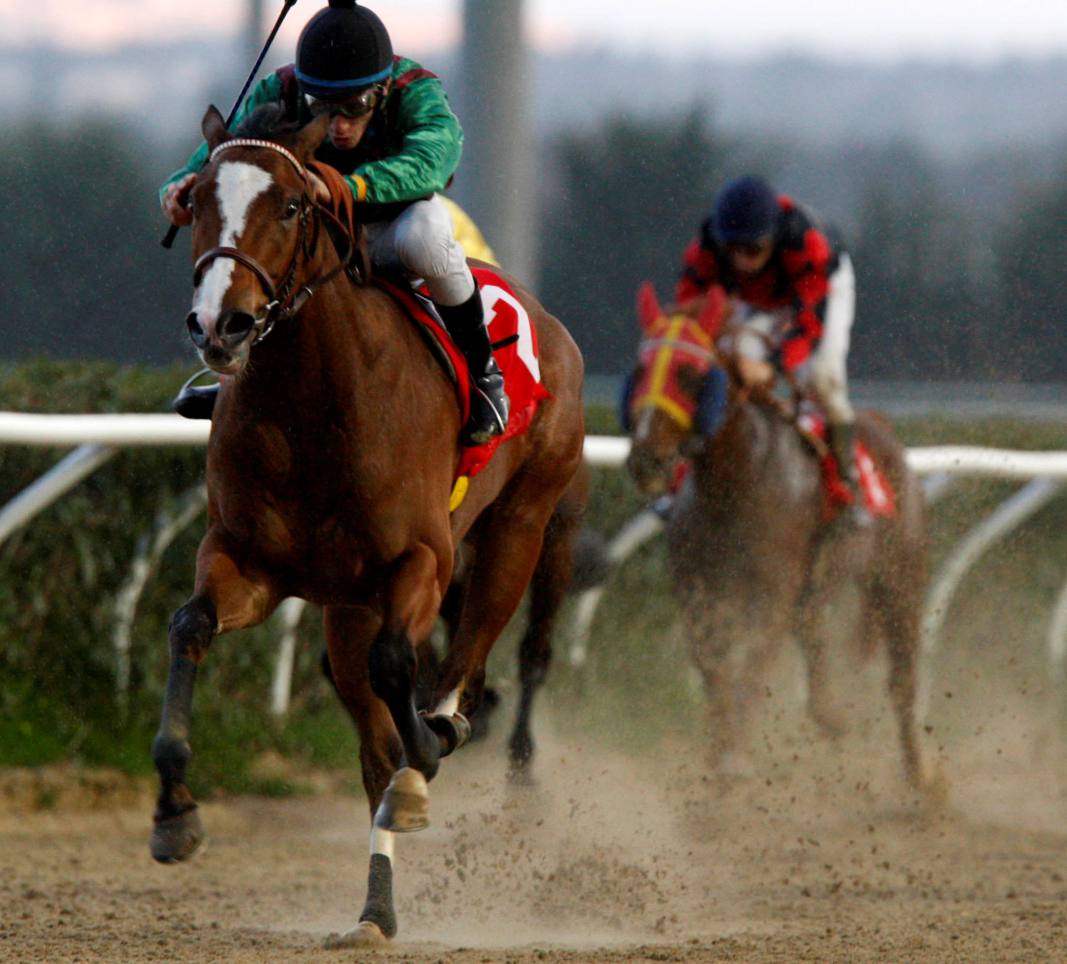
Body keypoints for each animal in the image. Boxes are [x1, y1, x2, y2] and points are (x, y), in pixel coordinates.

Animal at [150, 109, 584, 947]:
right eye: (196, 203)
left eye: (292, 206)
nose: (221, 325)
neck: (312, 403)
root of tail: (546, 321)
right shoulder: (246, 560)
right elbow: (189, 626)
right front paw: (173, 811)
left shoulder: (420, 559)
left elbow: (400, 675)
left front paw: (430, 750)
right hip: (346, 609)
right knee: (374, 738)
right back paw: (376, 908)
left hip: (522, 527)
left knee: (468, 655)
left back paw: (442, 740)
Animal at [623, 283, 926, 789]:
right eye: (641, 371)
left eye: (688, 373)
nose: (646, 460)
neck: (737, 481)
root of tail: (882, 427)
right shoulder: (699, 594)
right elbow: (713, 669)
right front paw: (718, 756)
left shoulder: (774, 592)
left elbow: (751, 668)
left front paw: (735, 762)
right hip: (816, 589)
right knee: (817, 642)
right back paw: (832, 715)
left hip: (898, 579)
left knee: (902, 681)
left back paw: (922, 780)